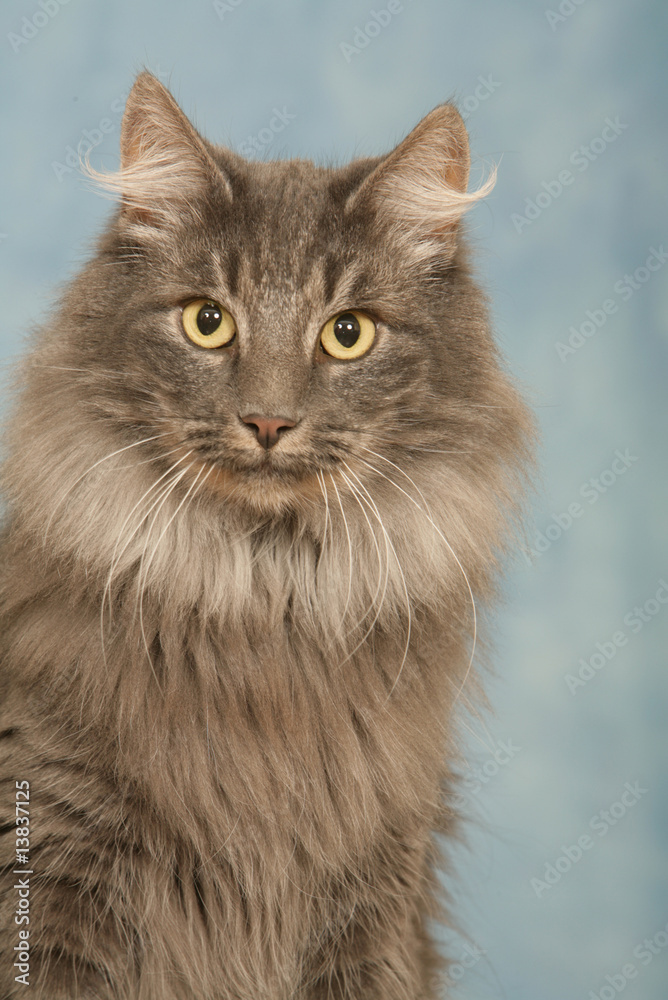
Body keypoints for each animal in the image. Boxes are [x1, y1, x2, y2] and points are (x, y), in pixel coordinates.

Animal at [0, 72, 532, 1000]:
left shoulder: (375, 904)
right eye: (208, 322)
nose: (270, 421)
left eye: (348, 333)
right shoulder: (49, 861)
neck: (263, 597)